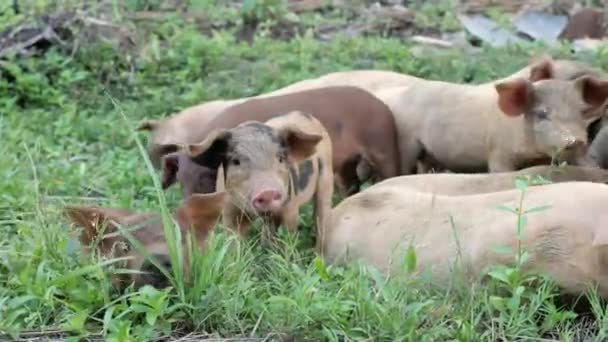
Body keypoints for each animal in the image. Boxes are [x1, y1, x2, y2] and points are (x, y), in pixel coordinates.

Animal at [159, 86, 402, 198]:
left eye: (206, 177)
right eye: (180, 181)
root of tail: (382, 105)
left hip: (382, 145)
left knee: (392, 173)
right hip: (345, 164)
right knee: (349, 184)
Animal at [183, 111, 334, 248]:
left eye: (280, 158)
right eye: (236, 161)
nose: (267, 191)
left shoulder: (290, 205)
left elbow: (288, 237)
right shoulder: (228, 209)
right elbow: (232, 241)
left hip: (326, 175)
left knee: (321, 215)